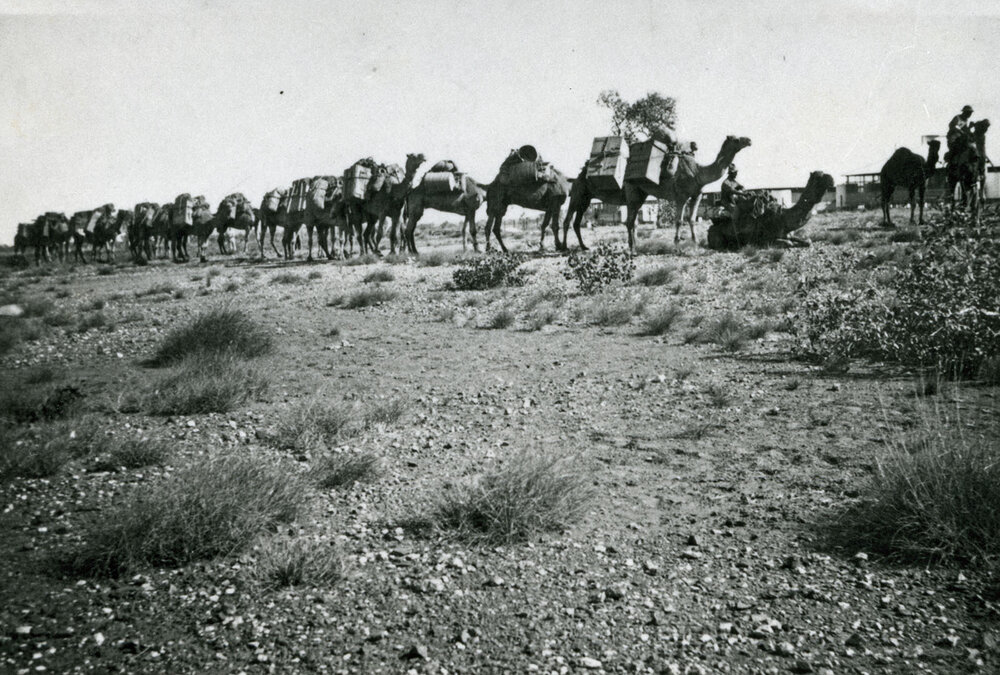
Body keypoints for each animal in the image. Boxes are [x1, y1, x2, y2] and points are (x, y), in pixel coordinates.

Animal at [708, 172, 840, 251]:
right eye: (819, 176)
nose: (832, 178)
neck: (783, 217)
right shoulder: (765, 240)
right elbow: (789, 243)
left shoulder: (788, 233)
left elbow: (807, 240)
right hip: (717, 235)